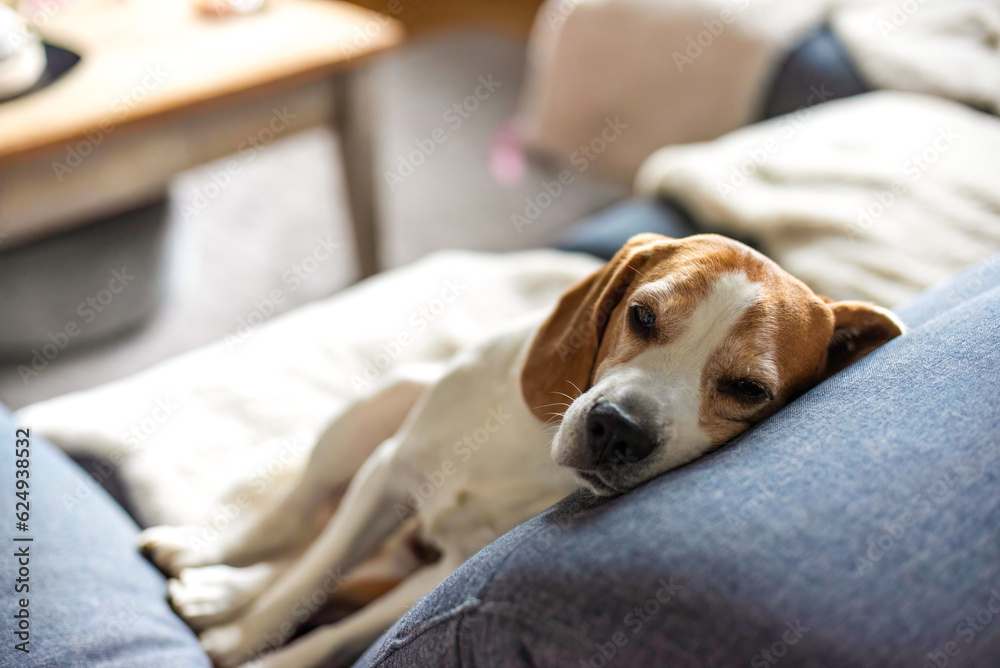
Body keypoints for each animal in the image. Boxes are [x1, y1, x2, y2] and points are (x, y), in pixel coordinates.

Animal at [139, 232, 900, 664]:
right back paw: (209, 560)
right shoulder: (386, 475)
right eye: (641, 315)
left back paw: (214, 591)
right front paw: (248, 628)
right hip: (382, 404)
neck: (535, 444)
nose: (618, 427)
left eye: (747, 389)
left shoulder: (445, 574)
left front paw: (248, 647)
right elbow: (306, 579)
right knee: (296, 522)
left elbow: (334, 630)